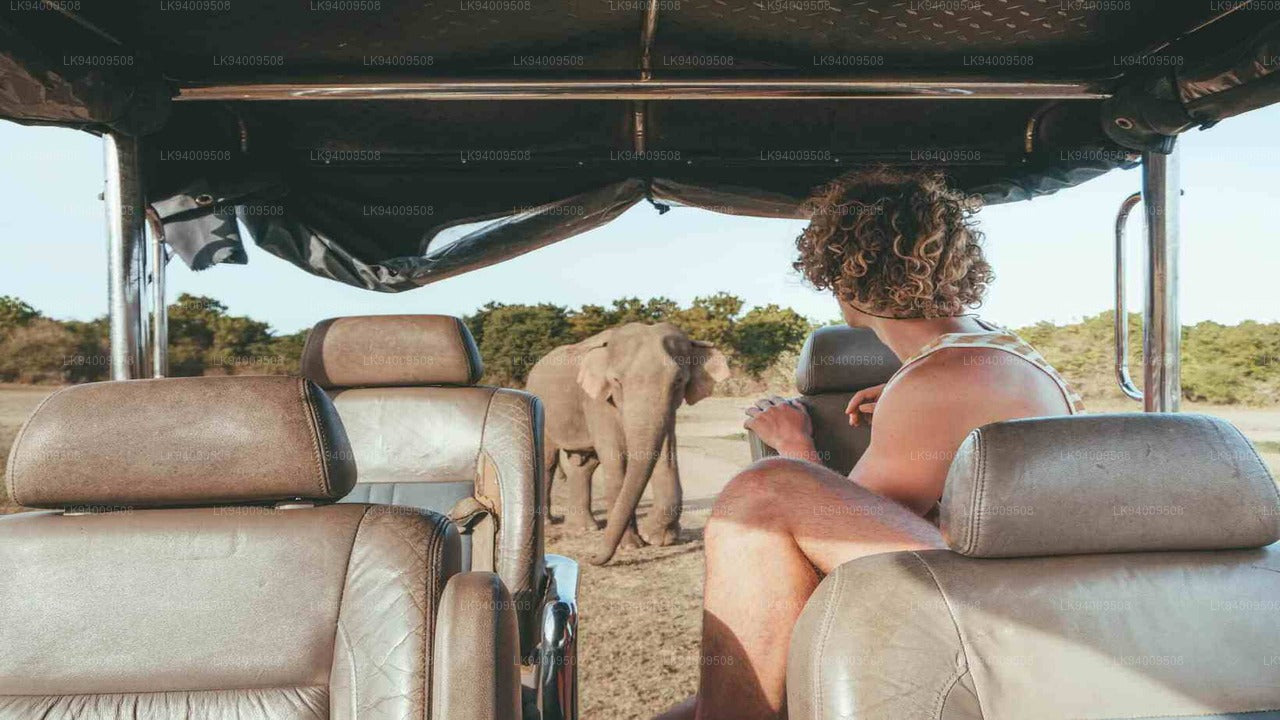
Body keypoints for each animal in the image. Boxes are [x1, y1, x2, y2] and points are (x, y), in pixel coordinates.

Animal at [525, 322, 730, 565]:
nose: (591, 558)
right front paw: (631, 546)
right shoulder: (597, 401)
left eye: (678, 381)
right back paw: (551, 523)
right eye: (617, 381)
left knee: (583, 467)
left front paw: (657, 538)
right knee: (548, 461)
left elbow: (666, 455)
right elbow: (617, 459)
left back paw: (584, 529)